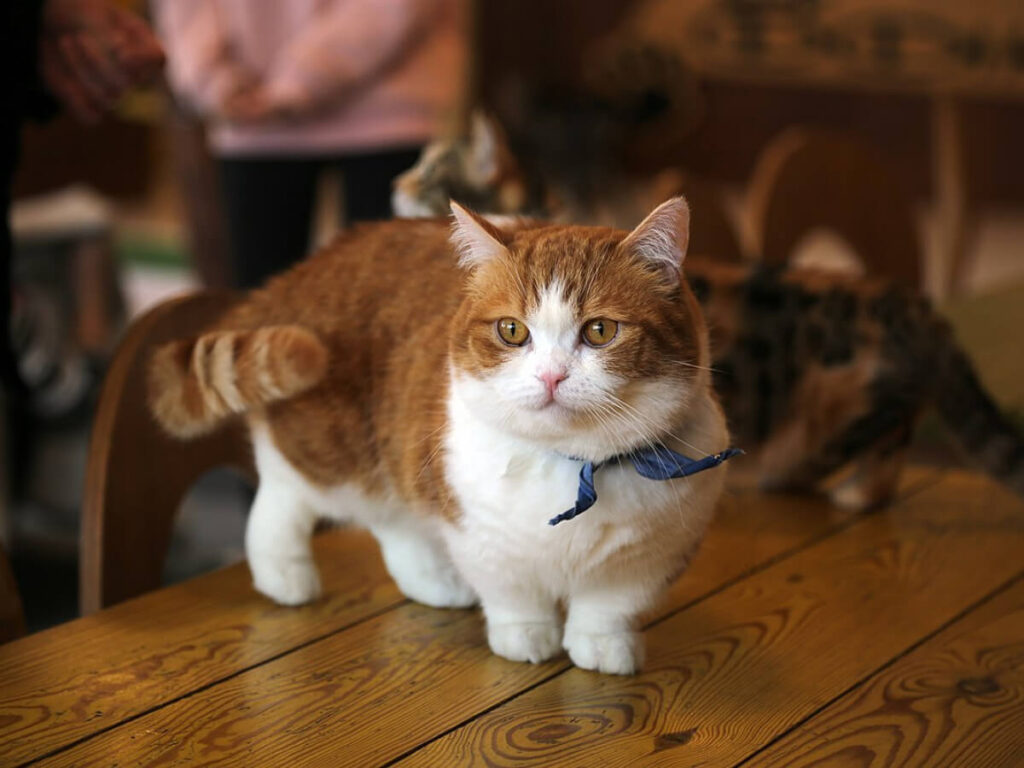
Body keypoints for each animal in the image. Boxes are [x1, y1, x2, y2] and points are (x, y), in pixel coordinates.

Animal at [149, 196, 729, 671]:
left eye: (600, 331)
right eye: (512, 330)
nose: (551, 376)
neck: (572, 462)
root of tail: (295, 275)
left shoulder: (651, 554)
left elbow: (609, 606)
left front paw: (603, 646)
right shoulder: (478, 530)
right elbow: (512, 595)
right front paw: (525, 635)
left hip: (396, 452)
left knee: (391, 520)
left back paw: (431, 582)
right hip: (336, 448)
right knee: (283, 492)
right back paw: (284, 575)